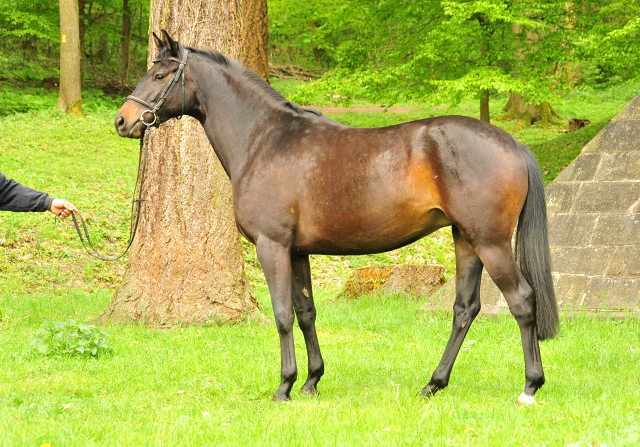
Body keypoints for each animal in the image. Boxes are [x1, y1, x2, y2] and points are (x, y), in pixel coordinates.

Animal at [117, 29, 556, 404]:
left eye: (159, 74)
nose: (122, 120)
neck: (264, 140)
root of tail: (513, 143)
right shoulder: (297, 251)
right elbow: (306, 312)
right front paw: (311, 380)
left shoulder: (272, 246)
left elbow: (282, 315)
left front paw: (284, 386)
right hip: (466, 240)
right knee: (465, 310)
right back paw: (433, 384)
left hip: (490, 242)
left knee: (522, 300)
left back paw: (530, 386)